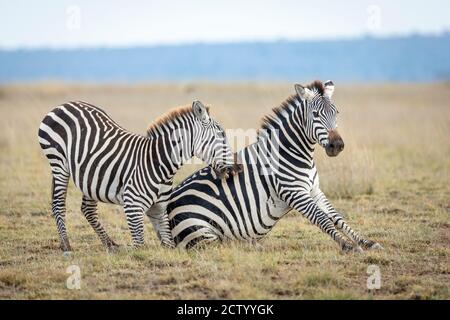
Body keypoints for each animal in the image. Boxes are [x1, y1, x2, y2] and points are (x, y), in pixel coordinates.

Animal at [37, 100, 236, 252]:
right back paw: (66, 246)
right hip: (59, 163)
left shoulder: (159, 208)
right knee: (58, 204)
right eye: (222, 135)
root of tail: (64, 104)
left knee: (88, 209)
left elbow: (169, 244)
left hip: (90, 177)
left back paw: (110, 244)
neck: (160, 163)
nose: (234, 168)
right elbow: (140, 245)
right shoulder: (132, 205)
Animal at [167, 81, 382, 251]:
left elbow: (337, 217)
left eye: (336, 113)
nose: (336, 145)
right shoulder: (294, 192)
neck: (294, 153)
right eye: (315, 114)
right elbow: (321, 218)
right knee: (222, 245)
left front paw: (366, 242)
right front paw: (348, 246)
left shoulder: (314, 190)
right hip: (202, 231)